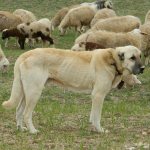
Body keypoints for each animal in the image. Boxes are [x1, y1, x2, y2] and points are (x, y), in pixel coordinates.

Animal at [2, 44, 145, 134]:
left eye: (140, 56)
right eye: (132, 58)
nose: (143, 68)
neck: (113, 60)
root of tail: (25, 54)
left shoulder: (95, 96)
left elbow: (93, 115)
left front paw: (93, 128)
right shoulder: (98, 95)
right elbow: (97, 116)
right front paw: (100, 130)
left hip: (25, 92)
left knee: (19, 111)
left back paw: (21, 129)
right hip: (34, 92)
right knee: (26, 114)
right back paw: (33, 131)